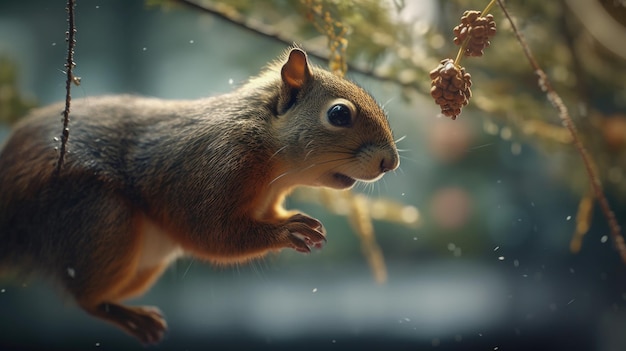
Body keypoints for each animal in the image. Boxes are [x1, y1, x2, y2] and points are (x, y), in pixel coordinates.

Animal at [0, 48, 398, 346]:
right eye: (339, 114)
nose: (390, 162)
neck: (272, 163)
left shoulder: (266, 200)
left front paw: (292, 220)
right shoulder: (209, 170)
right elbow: (211, 232)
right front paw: (287, 232)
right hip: (102, 220)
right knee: (85, 299)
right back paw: (132, 318)